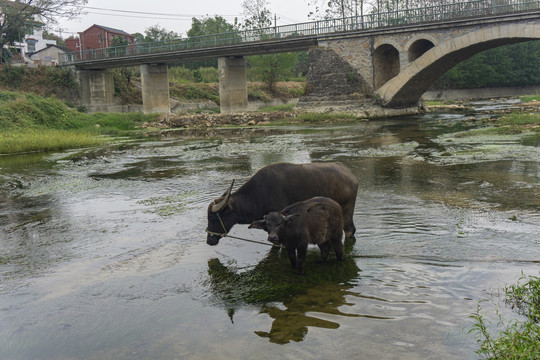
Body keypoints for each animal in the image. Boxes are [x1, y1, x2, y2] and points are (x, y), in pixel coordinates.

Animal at [205, 162, 356, 245]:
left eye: (213, 218)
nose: (209, 240)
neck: (258, 194)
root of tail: (350, 174)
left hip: (346, 210)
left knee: (349, 230)